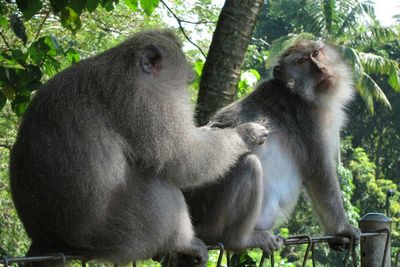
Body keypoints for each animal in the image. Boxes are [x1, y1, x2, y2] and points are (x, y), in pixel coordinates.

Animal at [8, 29, 268, 266]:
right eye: (184, 80)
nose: (192, 77)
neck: (124, 65)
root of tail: (49, 241)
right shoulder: (146, 103)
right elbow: (184, 159)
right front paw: (245, 133)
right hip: (122, 234)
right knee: (158, 184)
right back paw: (183, 242)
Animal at [186, 39, 360, 255]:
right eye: (302, 61)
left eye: (316, 53)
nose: (320, 68)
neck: (298, 93)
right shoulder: (308, 121)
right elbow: (320, 174)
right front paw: (342, 230)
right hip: (210, 217)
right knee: (249, 165)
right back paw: (240, 240)